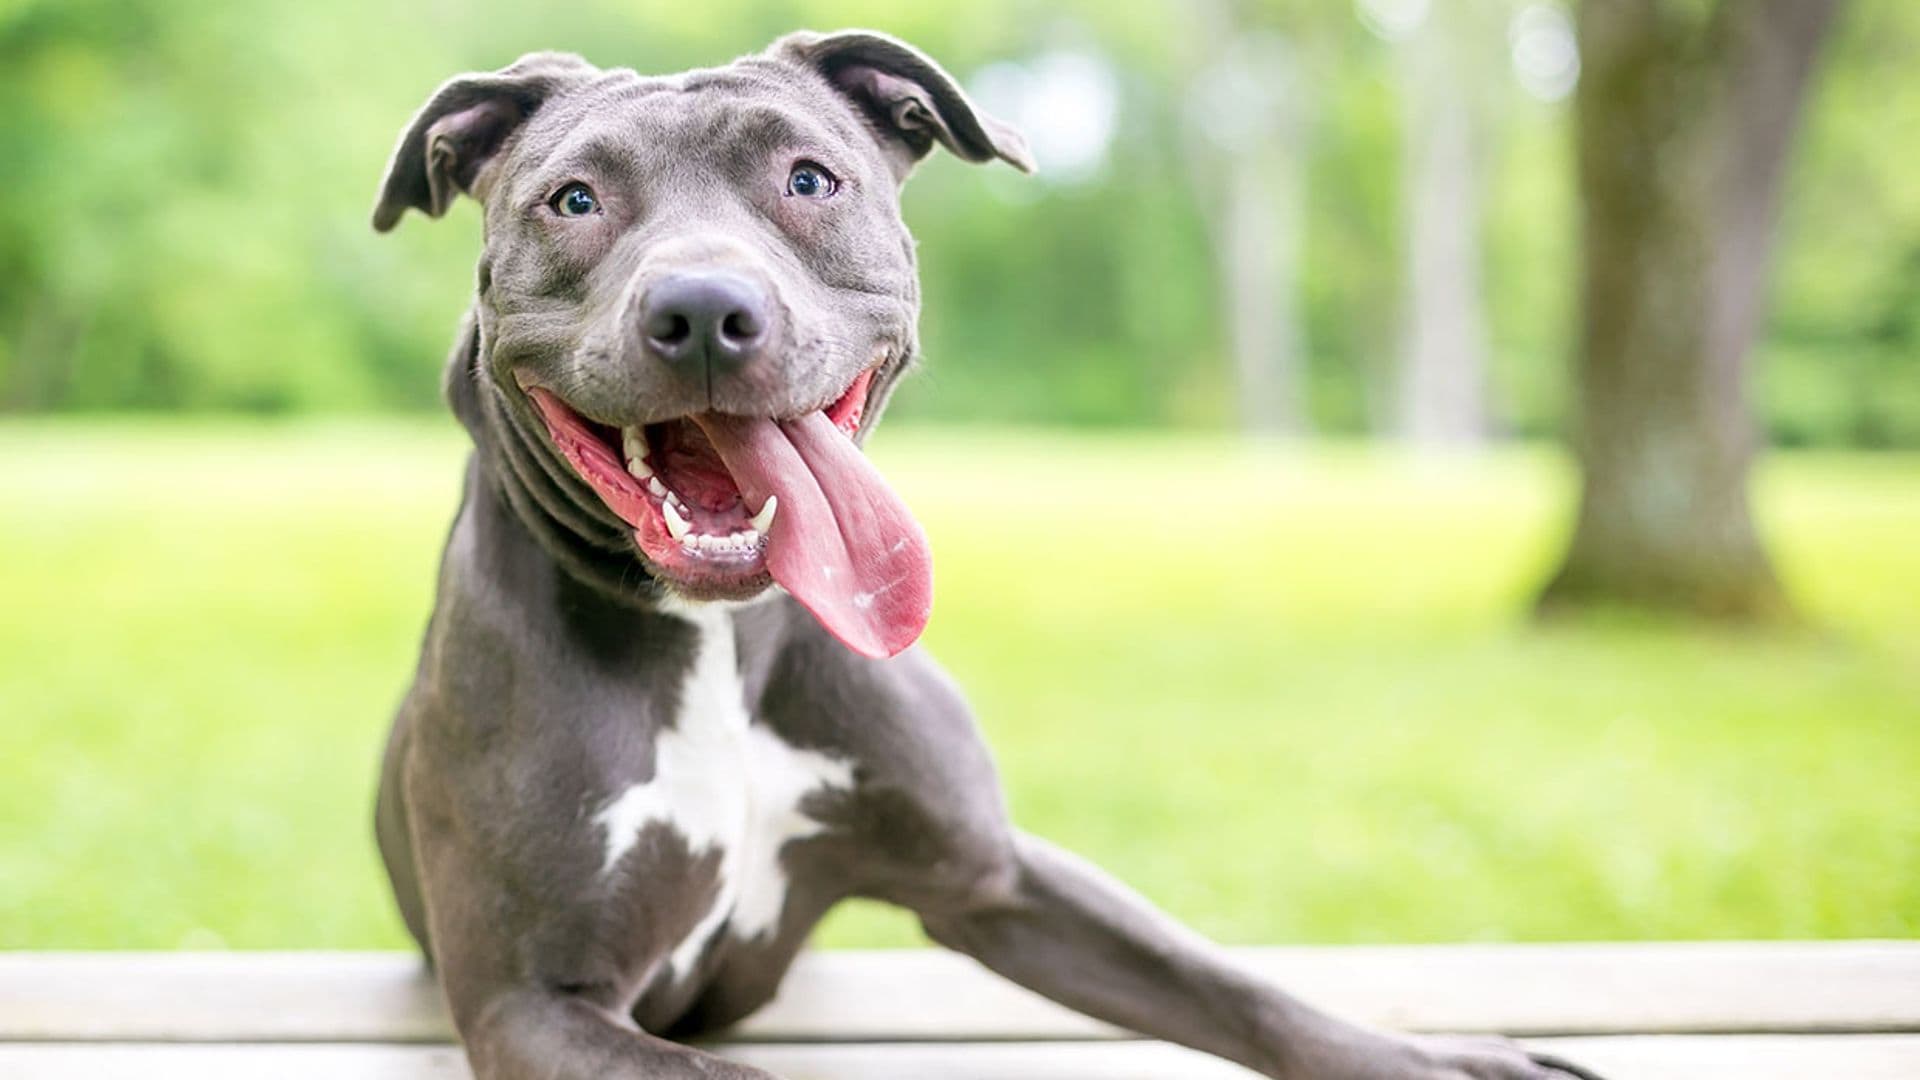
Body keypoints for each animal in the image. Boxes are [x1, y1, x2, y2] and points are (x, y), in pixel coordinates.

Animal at [366, 27, 1597, 1076]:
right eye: (575, 199)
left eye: (810, 180)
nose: (705, 309)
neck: (718, 636)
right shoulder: (534, 1003)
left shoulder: (995, 878)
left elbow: (1233, 988)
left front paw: (1453, 1059)